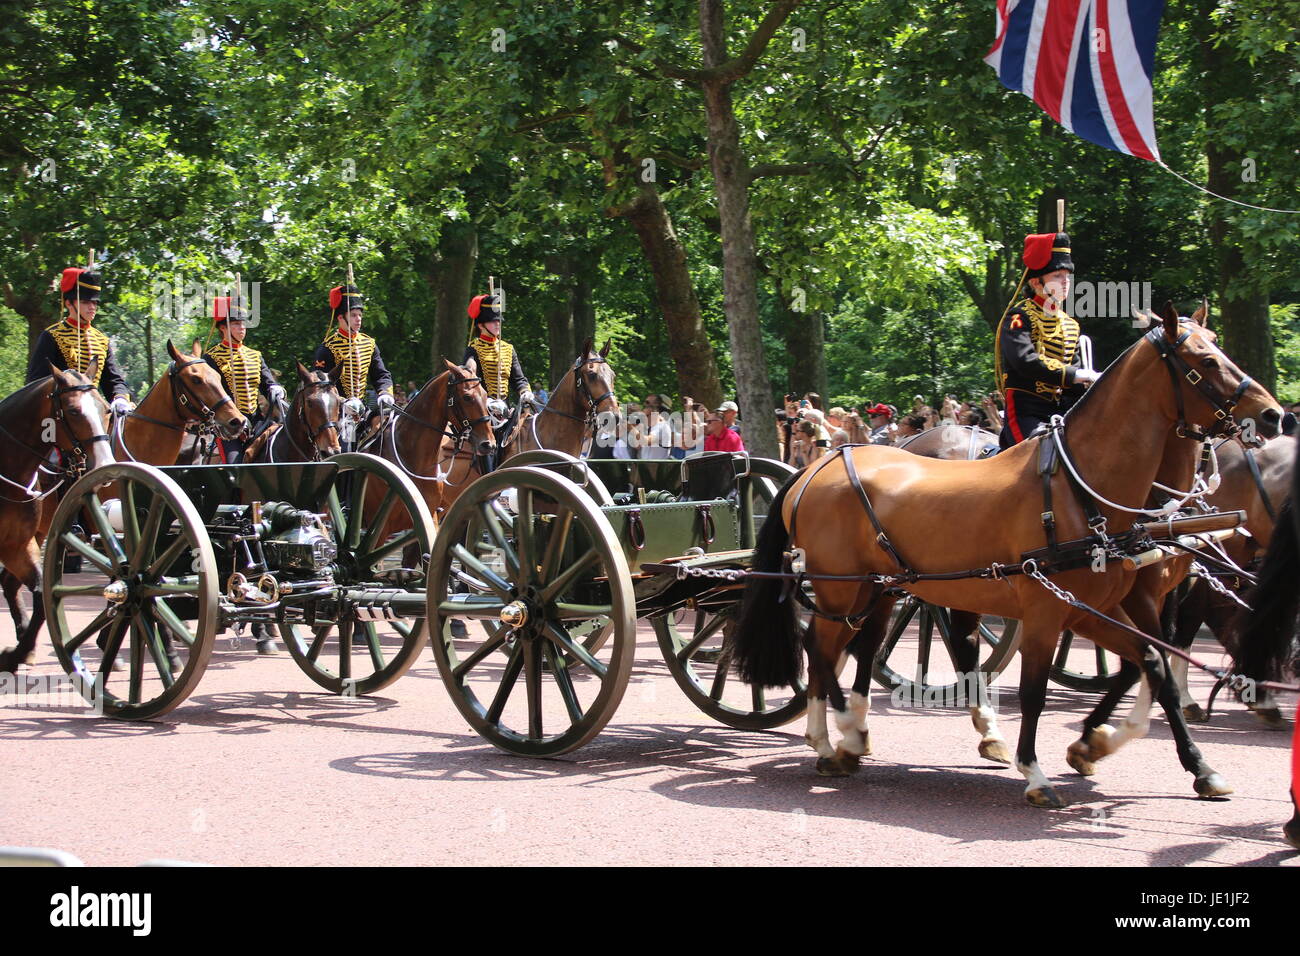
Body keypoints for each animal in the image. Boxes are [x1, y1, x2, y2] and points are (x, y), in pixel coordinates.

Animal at [0, 364, 115, 671]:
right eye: (73, 411)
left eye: (105, 409)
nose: (106, 464)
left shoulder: (16, 546)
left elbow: (42, 596)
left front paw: (16, 654)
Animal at [733, 308, 1279, 806]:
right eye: (1205, 361)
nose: (1276, 415)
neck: (1082, 491)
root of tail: (814, 469)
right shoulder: (1048, 611)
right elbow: (1037, 688)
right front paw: (1038, 771)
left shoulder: (1097, 608)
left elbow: (1152, 663)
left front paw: (1179, 761)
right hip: (841, 589)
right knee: (820, 648)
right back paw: (837, 736)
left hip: (881, 589)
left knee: (864, 647)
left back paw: (848, 738)